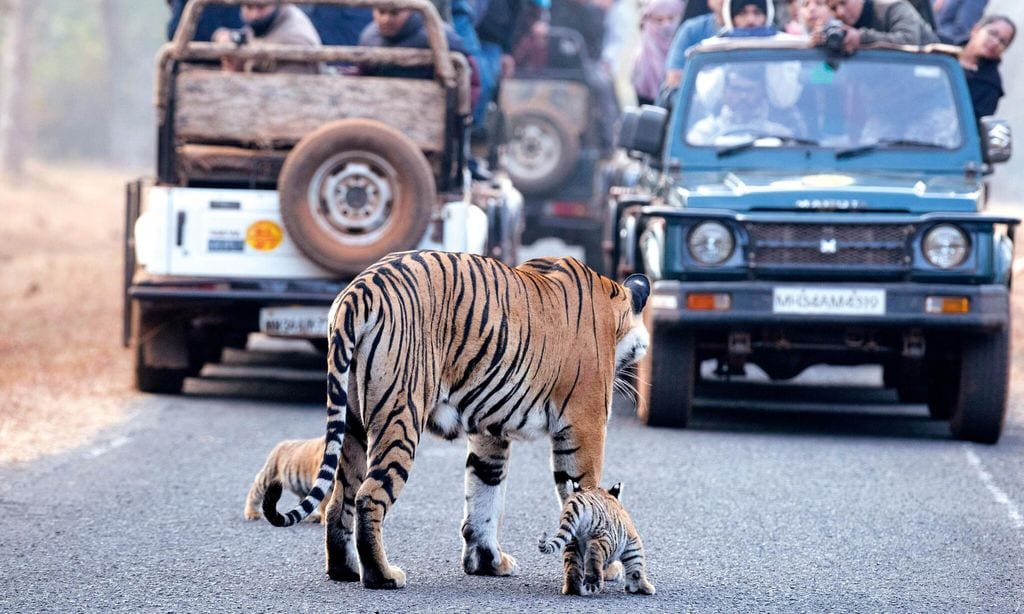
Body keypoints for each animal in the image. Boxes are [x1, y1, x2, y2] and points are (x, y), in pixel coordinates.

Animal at [262, 250, 647, 589]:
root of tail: (361, 286)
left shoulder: (489, 431)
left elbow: (484, 494)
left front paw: (488, 562)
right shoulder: (584, 425)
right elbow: (589, 495)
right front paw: (607, 567)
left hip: (352, 423)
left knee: (340, 499)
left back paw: (344, 570)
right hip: (400, 417)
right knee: (369, 496)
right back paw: (382, 576)